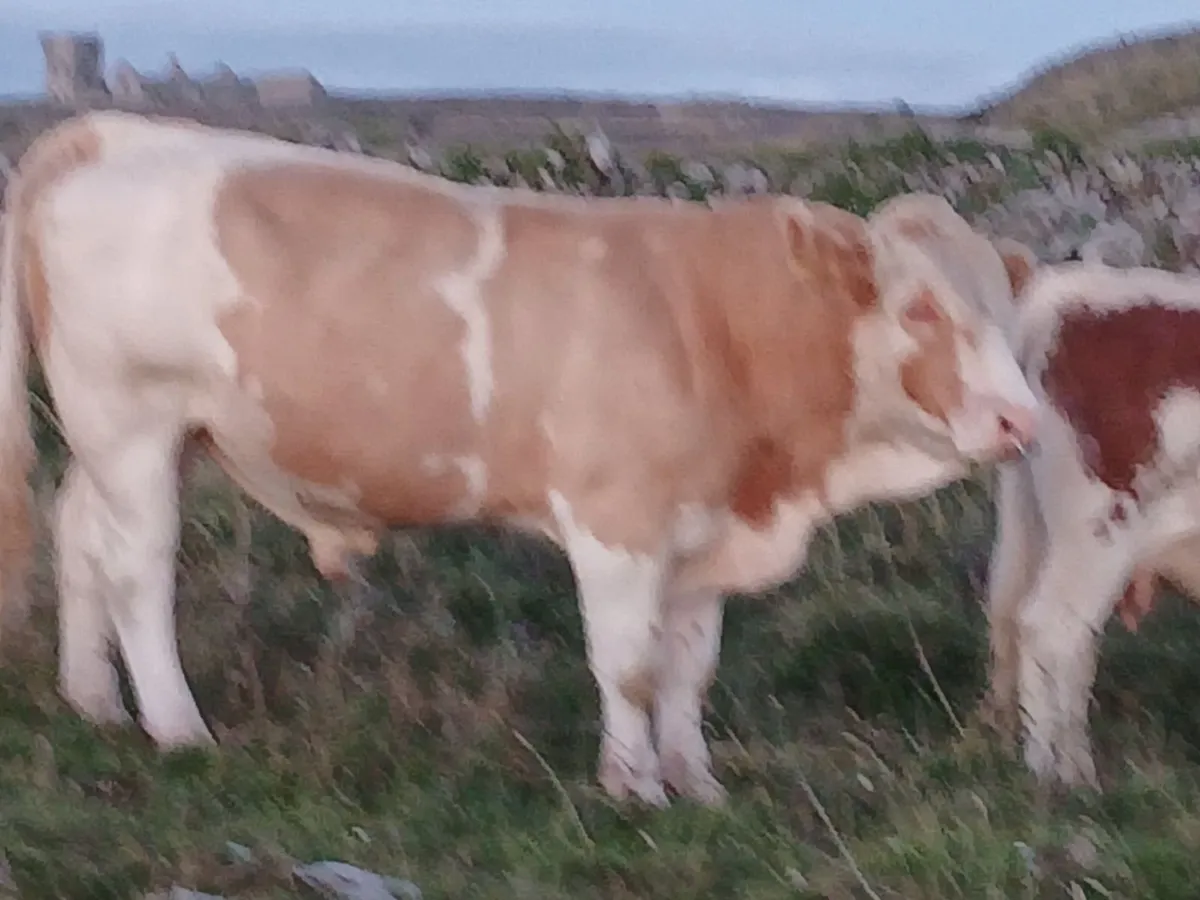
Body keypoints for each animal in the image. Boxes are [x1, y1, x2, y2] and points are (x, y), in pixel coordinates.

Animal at [0, 110, 1040, 807]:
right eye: (921, 308)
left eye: (1007, 310)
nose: (1020, 420)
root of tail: (108, 132)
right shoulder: (619, 523)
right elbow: (629, 664)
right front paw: (633, 788)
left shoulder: (704, 533)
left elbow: (688, 670)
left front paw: (696, 783)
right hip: (129, 419)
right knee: (138, 570)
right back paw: (177, 729)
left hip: (149, 439)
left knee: (80, 536)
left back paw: (93, 702)